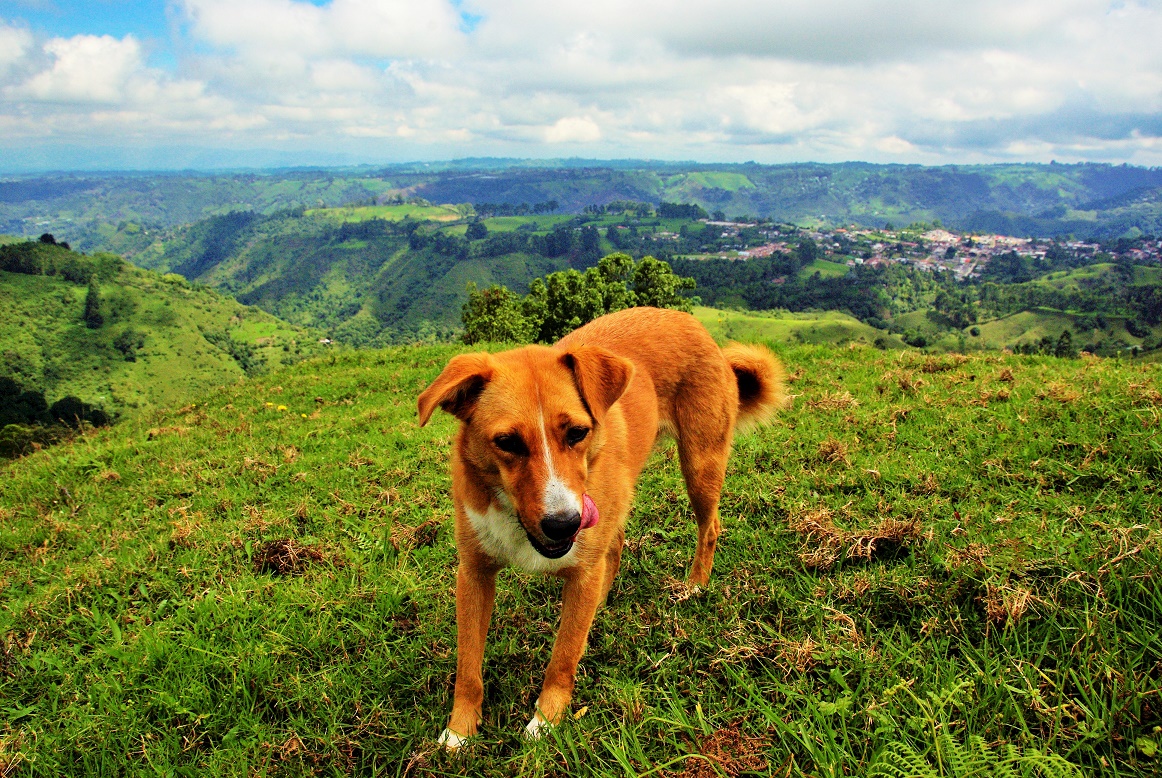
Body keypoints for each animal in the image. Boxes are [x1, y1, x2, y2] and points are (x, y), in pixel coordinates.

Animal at [417, 306, 785, 747]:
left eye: (577, 432)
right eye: (506, 442)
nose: (564, 524)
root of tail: (688, 320)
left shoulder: (581, 569)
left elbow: (563, 657)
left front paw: (546, 721)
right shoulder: (473, 574)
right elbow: (468, 663)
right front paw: (459, 732)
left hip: (701, 463)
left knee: (709, 527)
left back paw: (695, 585)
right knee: (618, 540)